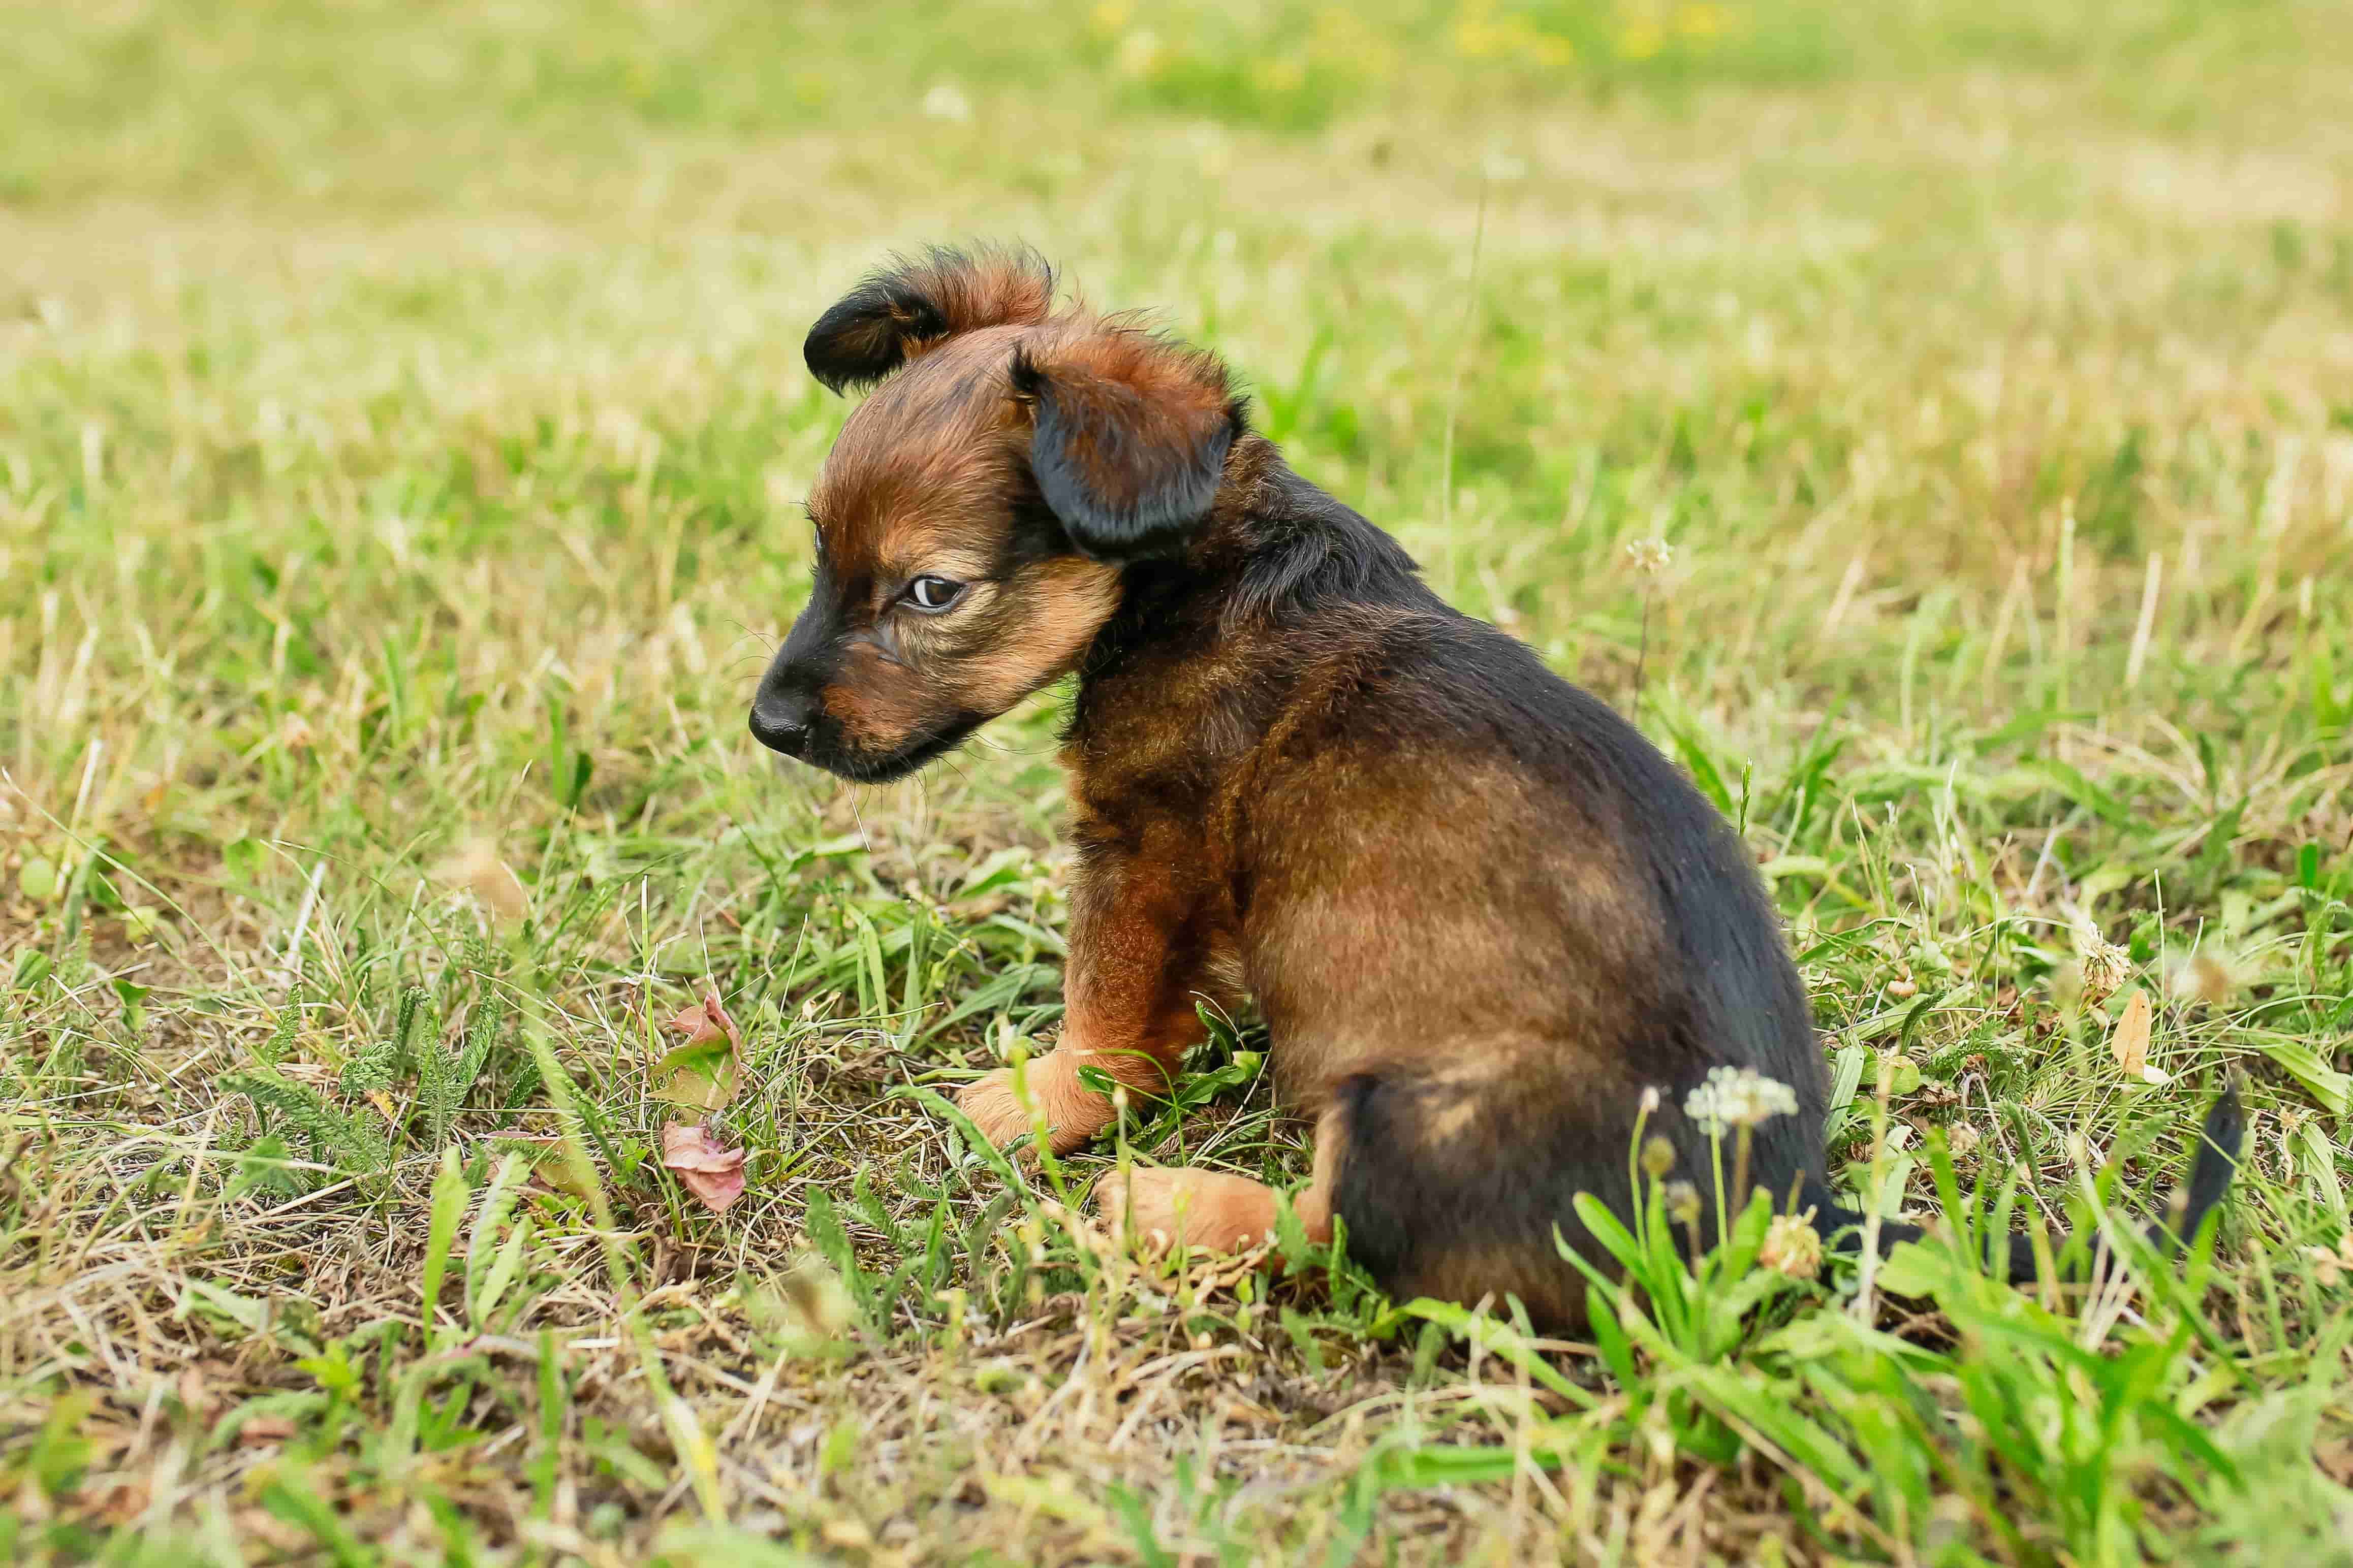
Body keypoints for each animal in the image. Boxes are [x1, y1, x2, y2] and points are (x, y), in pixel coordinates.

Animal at [758, 245, 2240, 1326]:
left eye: (929, 592)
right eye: (819, 549)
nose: (767, 724)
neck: (1202, 562)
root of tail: (1785, 1211)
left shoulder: (1144, 837)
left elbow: (1104, 1004)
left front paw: (1049, 1102)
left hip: (1405, 1115)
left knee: (1325, 1241)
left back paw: (1161, 1210)